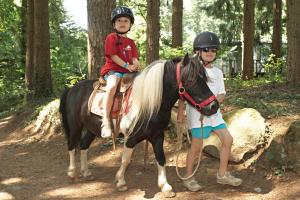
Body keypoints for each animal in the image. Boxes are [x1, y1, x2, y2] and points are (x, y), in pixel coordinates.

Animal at [59, 54, 218, 196]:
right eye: (191, 79)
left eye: (205, 78)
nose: (214, 106)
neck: (147, 103)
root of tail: (72, 89)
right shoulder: (131, 138)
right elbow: (126, 159)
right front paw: (121, 182)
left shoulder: (157, 135)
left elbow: (161, 158)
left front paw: (165, 186)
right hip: (75, 126)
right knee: (72, 146)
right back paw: (72, 173)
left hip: (92, 129)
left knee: (83, 145)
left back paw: (86, 172)